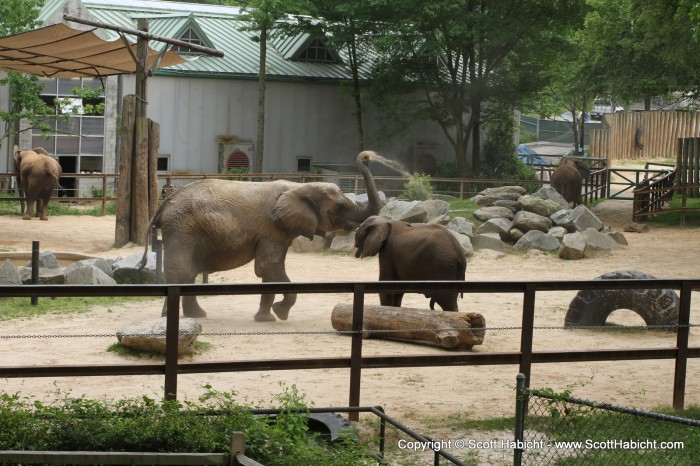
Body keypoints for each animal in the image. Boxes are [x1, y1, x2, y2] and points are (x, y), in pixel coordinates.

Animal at [140, 151, 380, 322]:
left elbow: (270, 269)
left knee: (188, 273)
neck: (300, 186)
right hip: (181, 229)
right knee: (180, 272)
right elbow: (268, 266)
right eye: (340, 206)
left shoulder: (278, 231)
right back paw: (172, 316)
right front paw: (280, 313)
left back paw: (196, 316)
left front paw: (265, 319)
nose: (366, 156)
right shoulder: (271, 228)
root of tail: (163, 205)